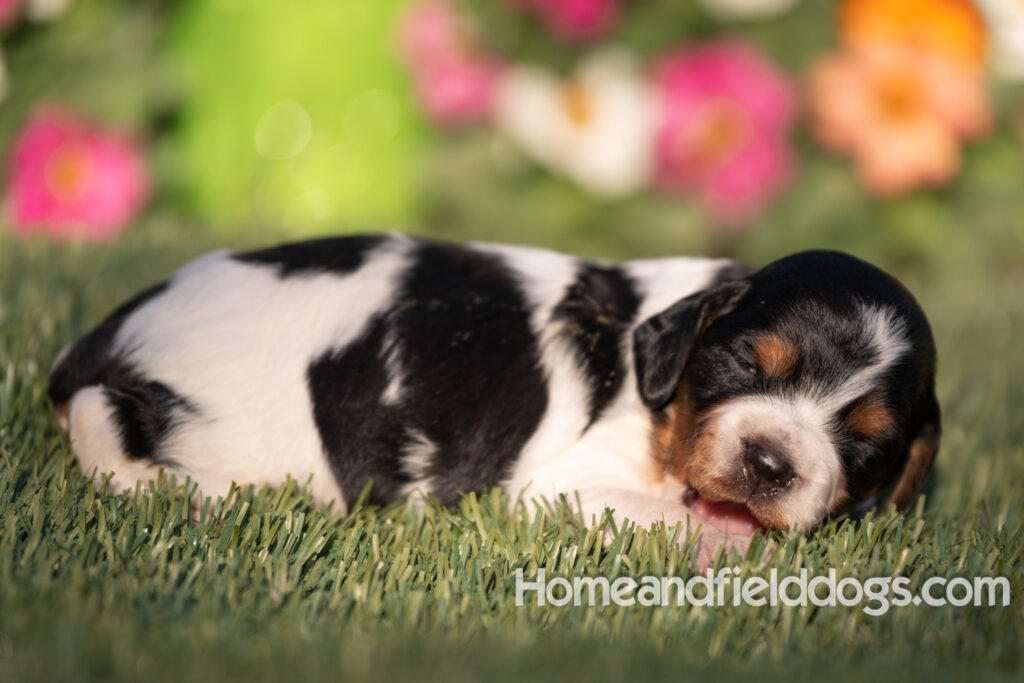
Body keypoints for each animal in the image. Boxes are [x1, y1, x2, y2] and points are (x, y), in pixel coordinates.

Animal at [49, 235, 942, 565]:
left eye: (868, 442)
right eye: (738, 363)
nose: (768, 461)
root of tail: (104, 337)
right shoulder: (564, 484)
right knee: (105, 427)